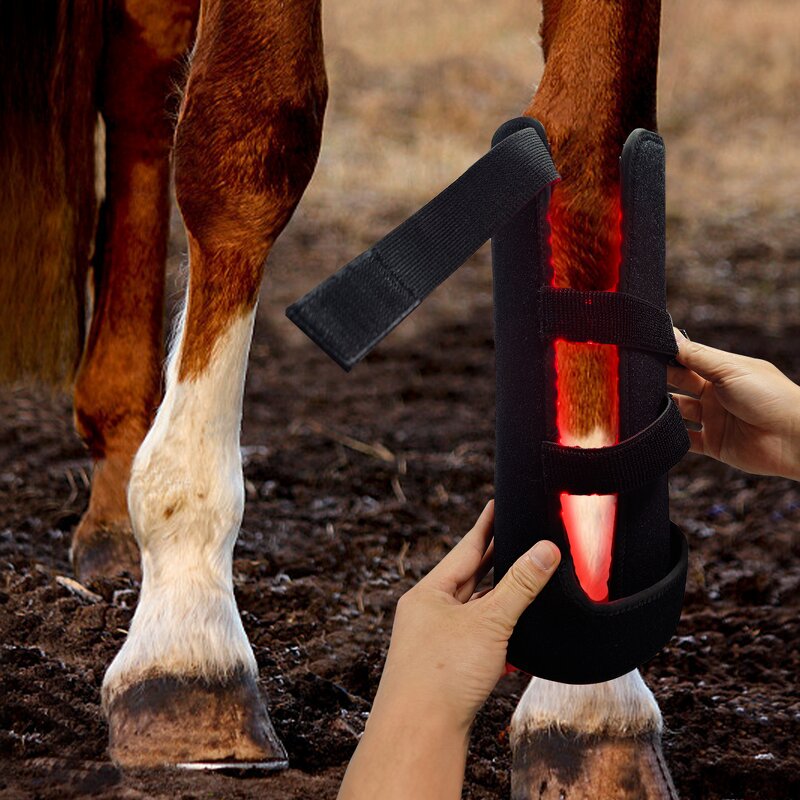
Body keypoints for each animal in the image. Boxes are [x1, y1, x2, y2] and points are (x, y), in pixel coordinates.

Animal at [0, 0, 676, 795]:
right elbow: (251, 136)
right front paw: (187, 638)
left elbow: (588, 177)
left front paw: (590, 697)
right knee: (142, 86)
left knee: (144, 89)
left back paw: (111, 505)